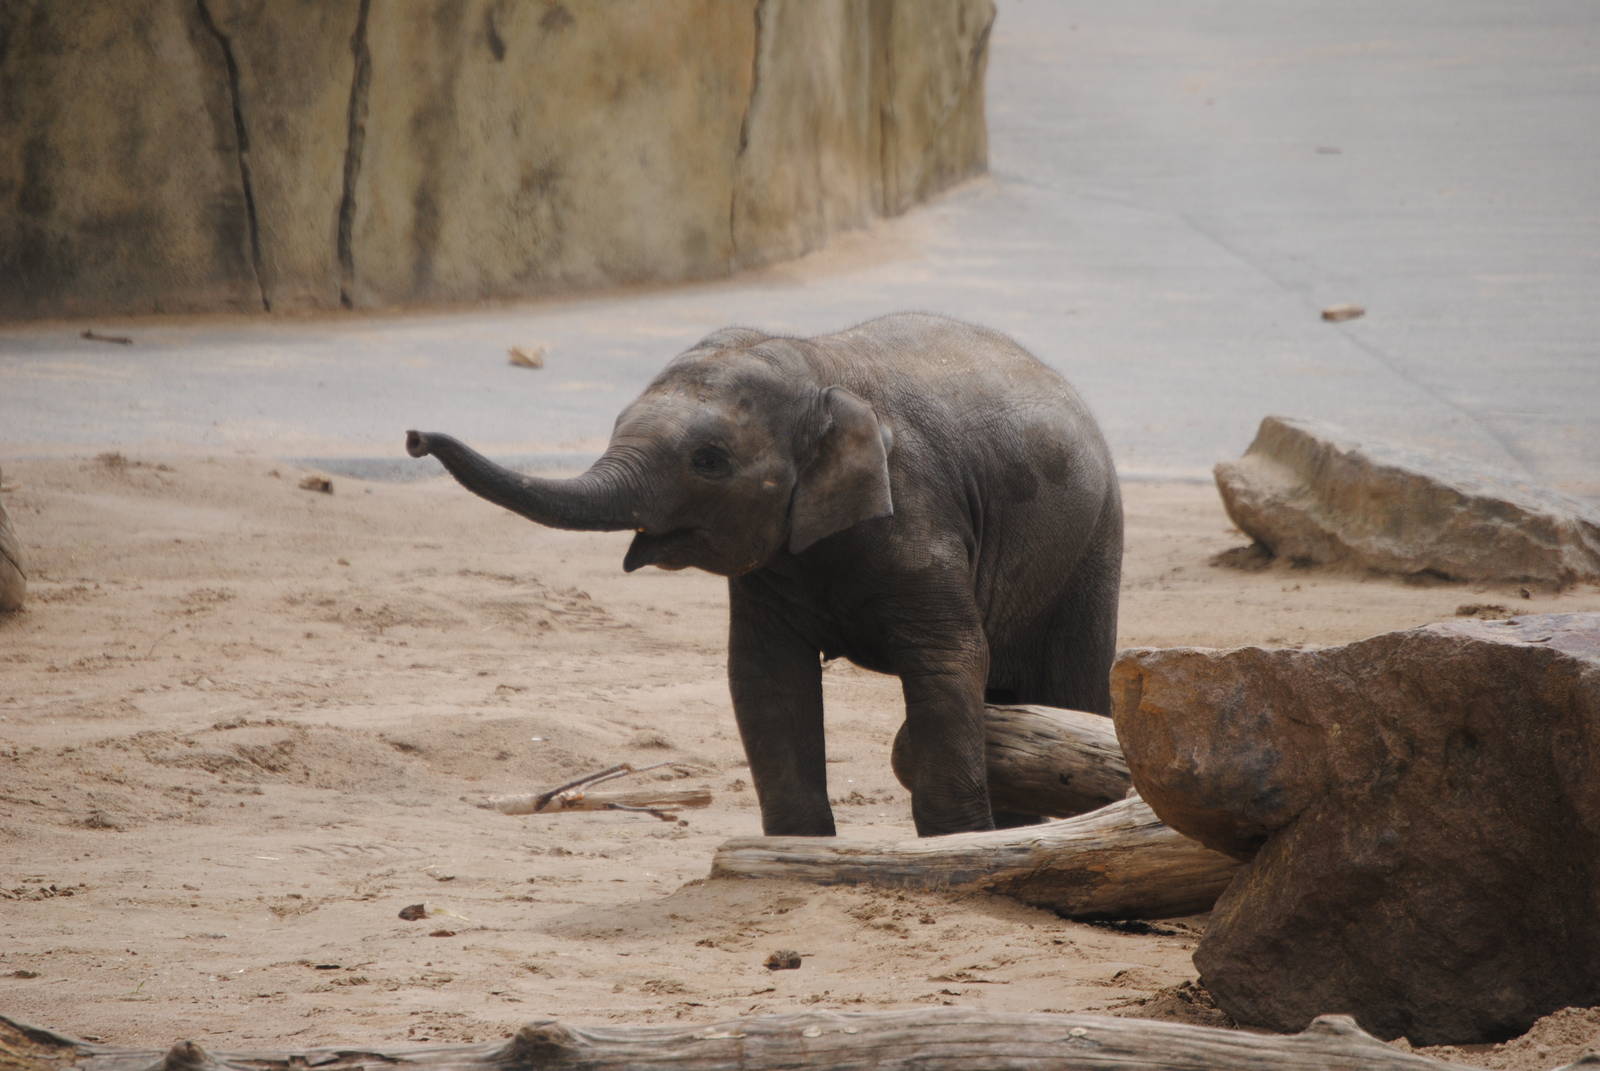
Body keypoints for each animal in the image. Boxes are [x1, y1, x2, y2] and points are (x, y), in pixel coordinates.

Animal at [406, 313, 1122, 837]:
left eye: (709, 460)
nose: (414, 437)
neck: (821, 371)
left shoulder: (922, 517)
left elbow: (948, 660)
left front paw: (954, 844)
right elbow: (765, 675)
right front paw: (801, 849)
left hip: (1094, 542)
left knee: (1073, 685)